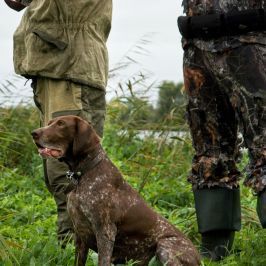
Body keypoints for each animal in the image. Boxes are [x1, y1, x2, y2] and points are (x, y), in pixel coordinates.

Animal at [30, 116, 200, 266]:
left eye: (61, 124)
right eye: (49, 123)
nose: (34, 133)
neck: (82, 174)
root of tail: (199, 257)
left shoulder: (105, 232)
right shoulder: (80, 234)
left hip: (165, 246)